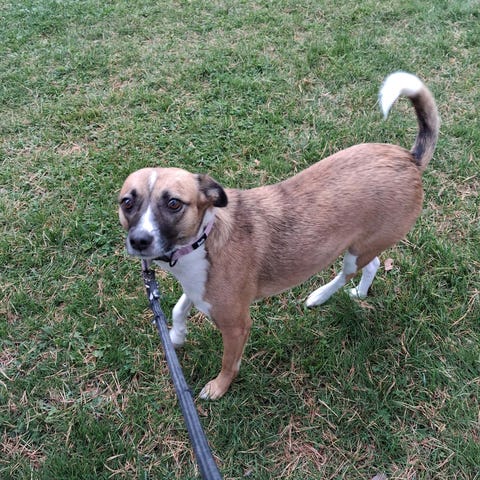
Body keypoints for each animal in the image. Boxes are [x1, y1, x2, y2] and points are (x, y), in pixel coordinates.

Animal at [119, 71, 439, 400]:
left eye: (174, 203)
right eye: (127, 202)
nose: (139, 241)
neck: (203, 240)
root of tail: (410, 159)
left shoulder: (236, 325)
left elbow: (228, 363)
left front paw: (218, 387)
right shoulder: (198, 289)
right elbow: (178, 307)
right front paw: (176, 335)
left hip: (359, 249)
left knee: (349, 272)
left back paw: (319, 295)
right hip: (363, 245)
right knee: (372, 266)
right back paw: (357, 294)